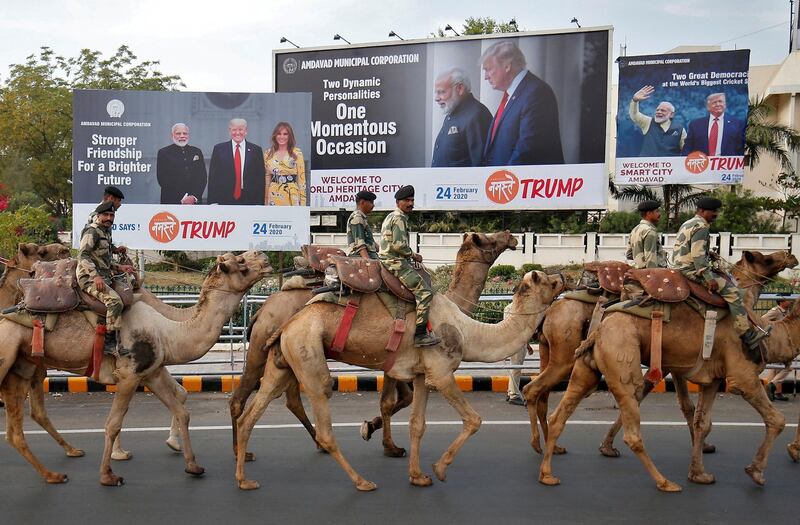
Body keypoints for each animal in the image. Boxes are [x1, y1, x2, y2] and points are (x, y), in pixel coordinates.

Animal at [0, 250, 272, 484]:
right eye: (240, 262)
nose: (265, 258)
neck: (169, 330)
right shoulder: (130, 375)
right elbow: (113, 423)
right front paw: (108, 474)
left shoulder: (151, 373)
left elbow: (182, 408)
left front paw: (192, 464)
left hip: (25, 365)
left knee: (23, 424)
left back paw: (57, 470)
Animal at [231, 231, 520, 456]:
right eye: (487, 239)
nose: (511, 235)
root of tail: (262, 308)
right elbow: (392, 402)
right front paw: (380, 438)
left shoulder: (394, 363)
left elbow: (395, 400)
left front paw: (380, 436)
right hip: (264, 345)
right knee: (242, 394)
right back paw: (242, 450)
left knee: (290, 398)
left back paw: (314, 443)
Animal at [234, 270, 564, 492]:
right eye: (549, 282)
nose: (565, 276)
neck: (467, 331)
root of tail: (286, 323)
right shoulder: (442, 373)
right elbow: (474, 419)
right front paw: (440, 469)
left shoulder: (421, 376)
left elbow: (418, 425)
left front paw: (418, 476)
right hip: (307, 352)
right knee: (322, 415)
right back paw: (362, 482)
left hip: (283, 360)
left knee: (252, 413)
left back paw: (243, 479)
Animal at [536, 250, 800, 492]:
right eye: (765, 259)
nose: (791, 256)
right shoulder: (740, 374)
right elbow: (776, 419)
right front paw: (756, 471)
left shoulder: (707, 376)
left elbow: (700, 419)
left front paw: (699, 472)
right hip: (606, 359)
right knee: (629, 429)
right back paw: (664, 482)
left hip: (583, 365)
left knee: (556, 409)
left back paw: (547, 469)